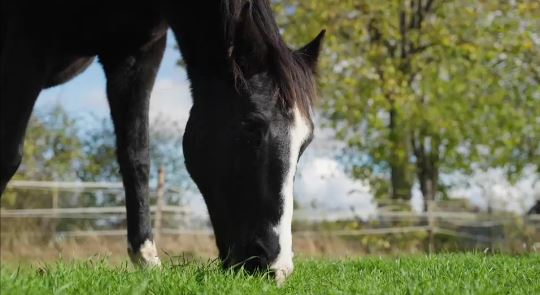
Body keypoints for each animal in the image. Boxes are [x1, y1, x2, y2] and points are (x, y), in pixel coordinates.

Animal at [1, 0, 324, 282]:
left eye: (306, 142)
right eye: (251, 128)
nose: (275, 267)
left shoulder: (134, 56)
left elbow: (136, 156)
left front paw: (146, 260)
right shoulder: (24, 46)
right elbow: (9, 156)